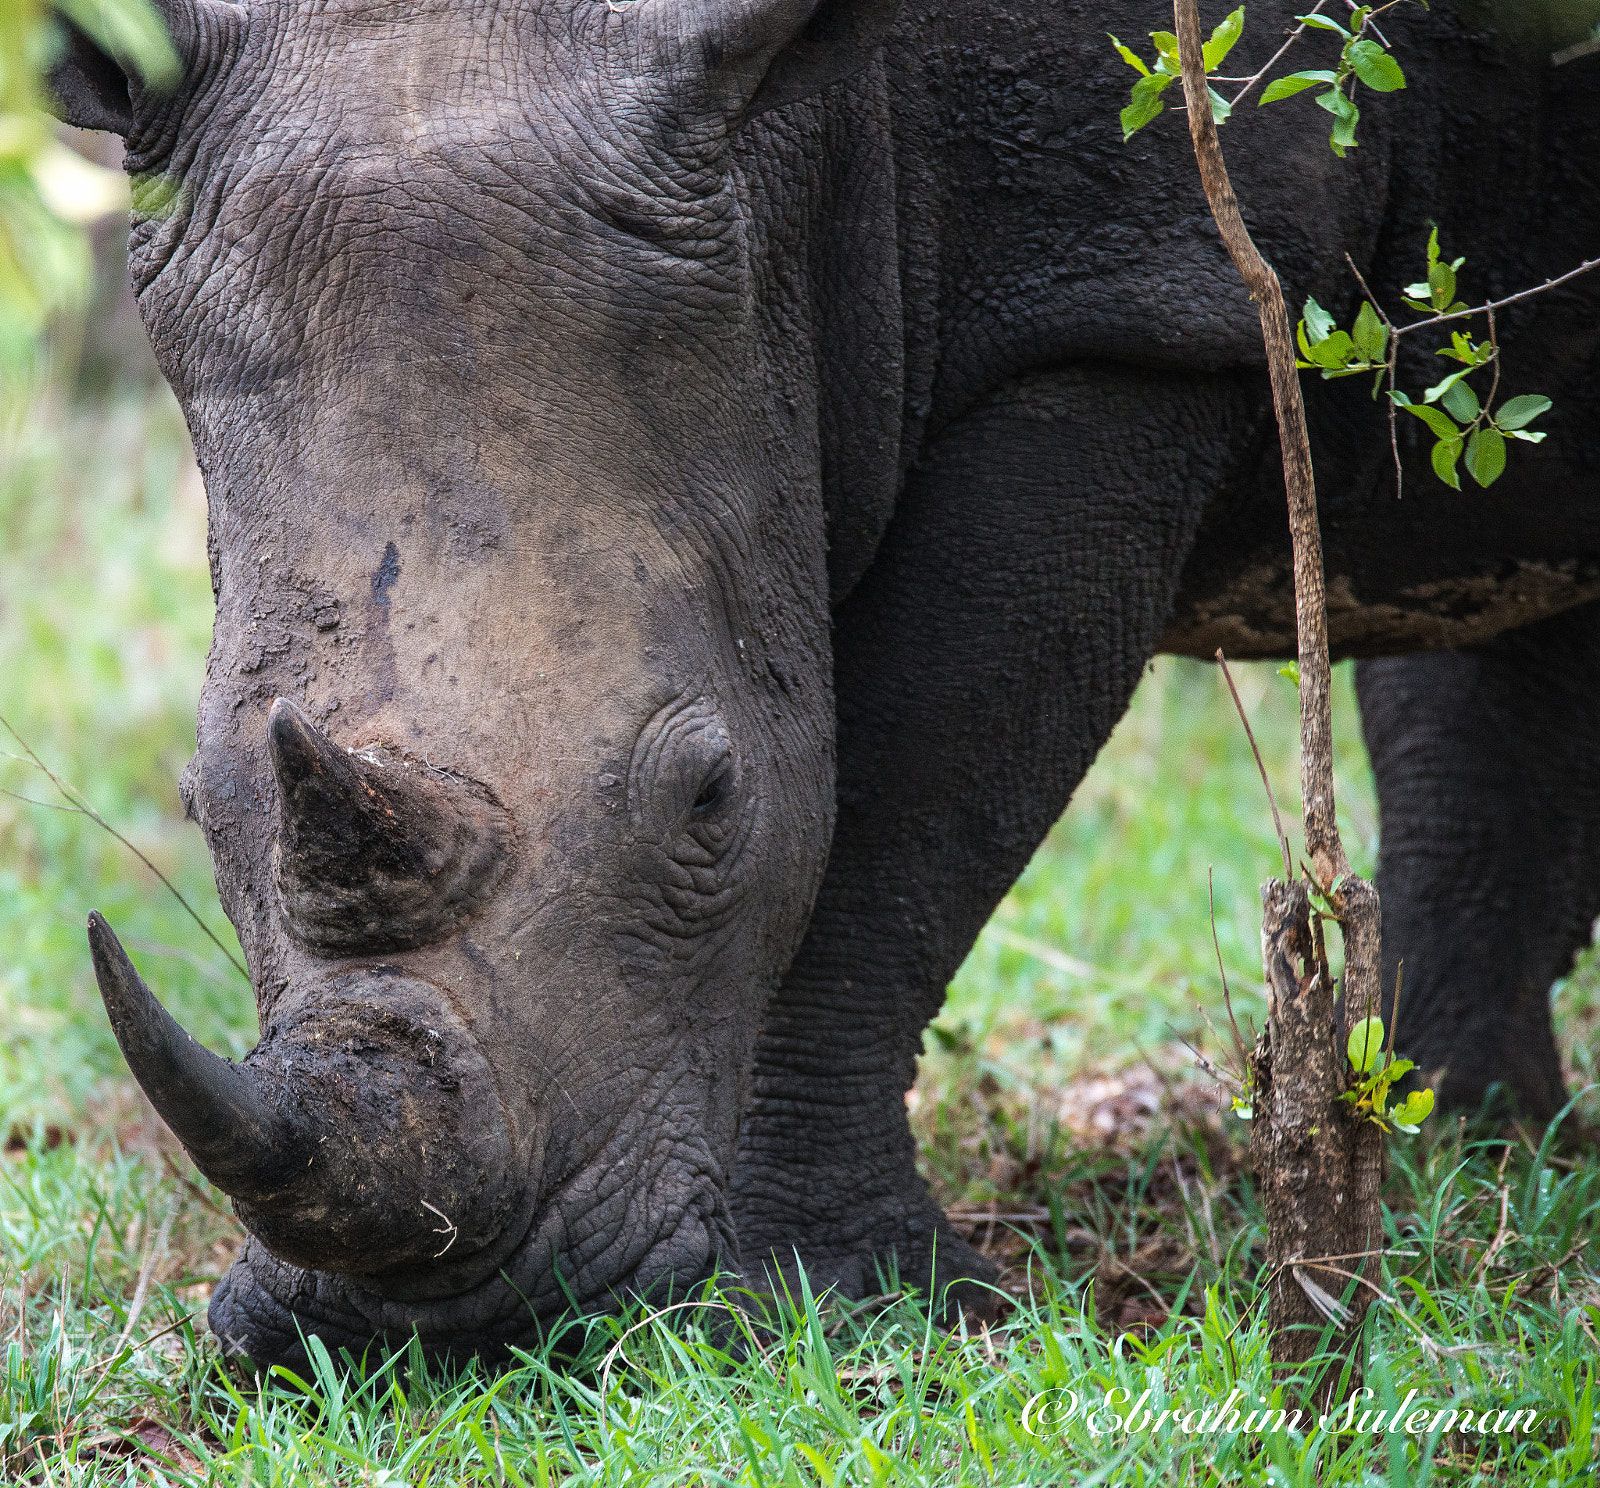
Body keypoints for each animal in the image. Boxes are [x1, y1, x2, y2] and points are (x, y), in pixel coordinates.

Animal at [50, 0, 1598, 1367]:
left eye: (710, 798)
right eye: (198, 801)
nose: (438, 1326)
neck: (791, 143)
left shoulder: (1129, 286)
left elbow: (907, 805)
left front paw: (827, 1300)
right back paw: (1469, 1143)